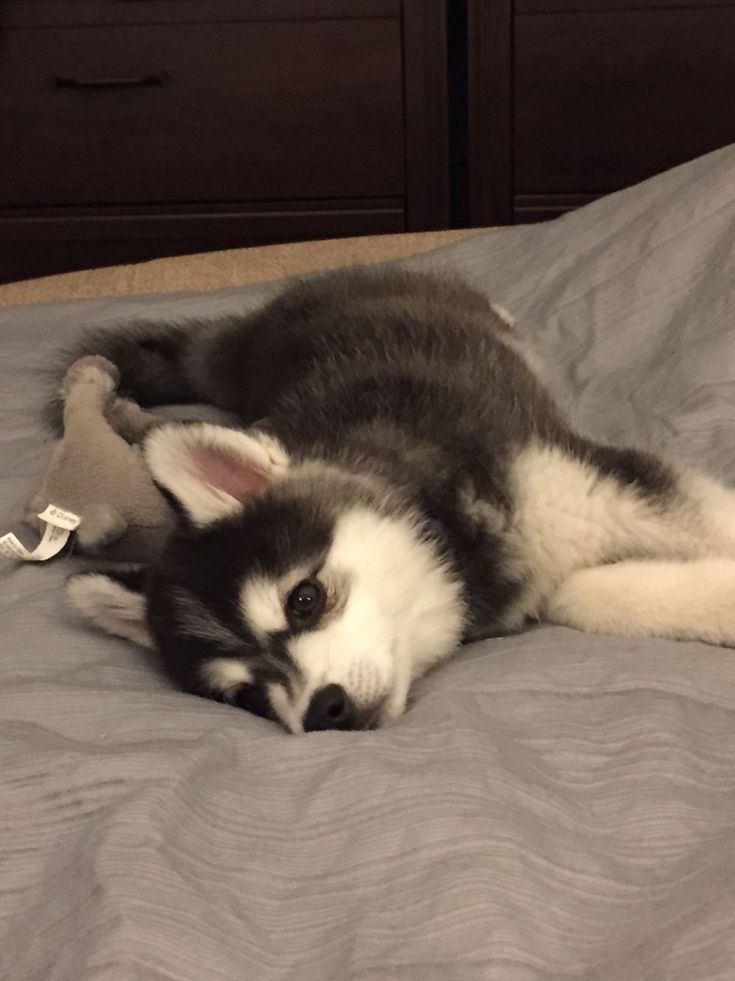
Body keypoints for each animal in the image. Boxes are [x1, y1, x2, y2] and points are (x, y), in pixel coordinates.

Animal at [64, 270, 735, 736]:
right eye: (249, 696)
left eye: (304, 600)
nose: (323, 711)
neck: (449, 534)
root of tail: (255, 332)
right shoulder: (543, 584)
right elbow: (612, 597)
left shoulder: (590, 484)